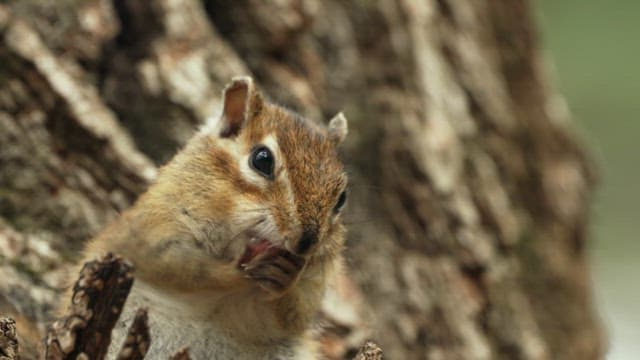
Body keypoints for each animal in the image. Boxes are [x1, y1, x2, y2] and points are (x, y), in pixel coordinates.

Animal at [70, 77, 350, 358]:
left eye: (342, 197)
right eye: (262, 160)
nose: (305, 243)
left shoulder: (314, 280)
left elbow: (295, 311)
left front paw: (285, 276)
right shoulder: (152, 231)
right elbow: (184, 266)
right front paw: (235, 271)